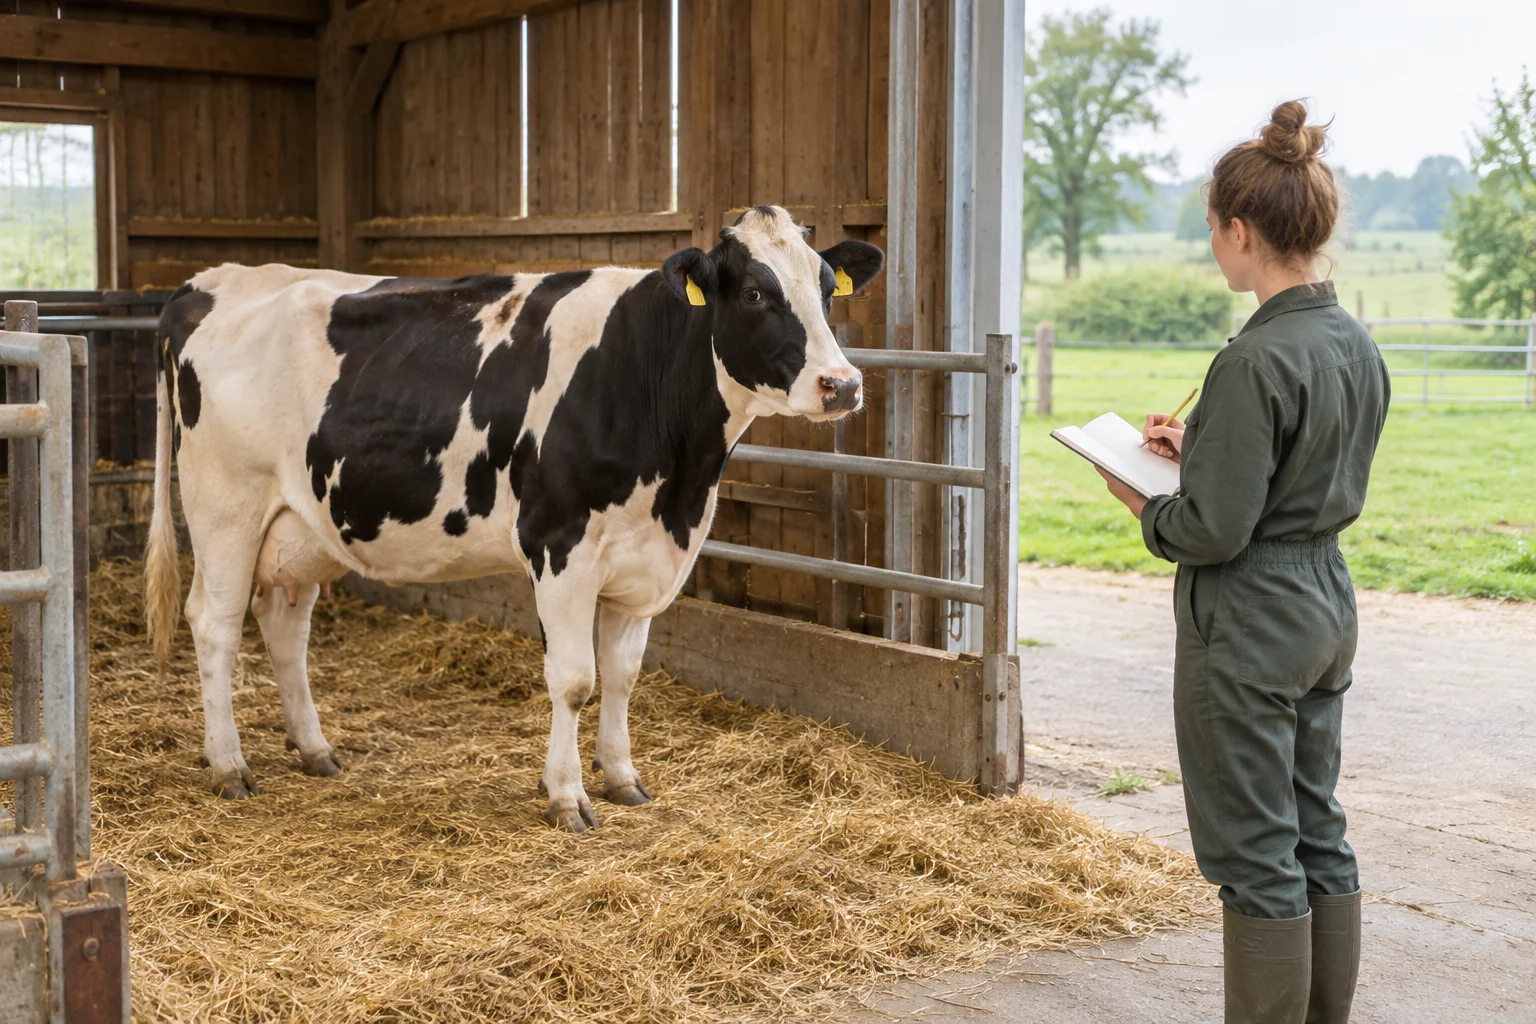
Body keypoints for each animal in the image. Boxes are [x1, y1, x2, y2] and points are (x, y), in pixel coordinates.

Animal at [144, 206, 883, 831]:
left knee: (284, 627)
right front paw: (567, 796)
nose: (842, 385)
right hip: (225, 508)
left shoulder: (644, 557)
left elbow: (624, 675)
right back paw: (229, 765)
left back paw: (315, 748)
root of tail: (212, 280)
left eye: (828, 290)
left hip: (300, 525)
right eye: (755, 293)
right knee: (214, 625)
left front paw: (623, 778)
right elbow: (575, 679)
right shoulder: (560, 546)